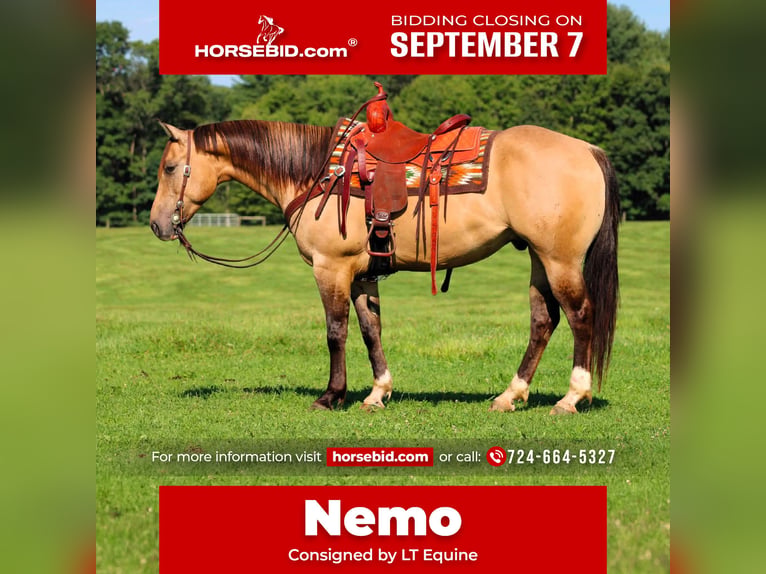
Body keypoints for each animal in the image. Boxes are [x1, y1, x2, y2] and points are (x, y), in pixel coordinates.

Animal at [149, 110, 619, 415]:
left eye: (170, 167)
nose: (157, 224)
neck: (315, 173)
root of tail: (588, 149)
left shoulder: (331, 268)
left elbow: (335, 332)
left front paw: (331, 396)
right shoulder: (361, 275)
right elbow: (369, 330)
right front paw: (377, 393)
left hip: (560, 260)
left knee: (580, 316)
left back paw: (571, 398)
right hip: (540, 259)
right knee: (543, 321)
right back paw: (509, 396)